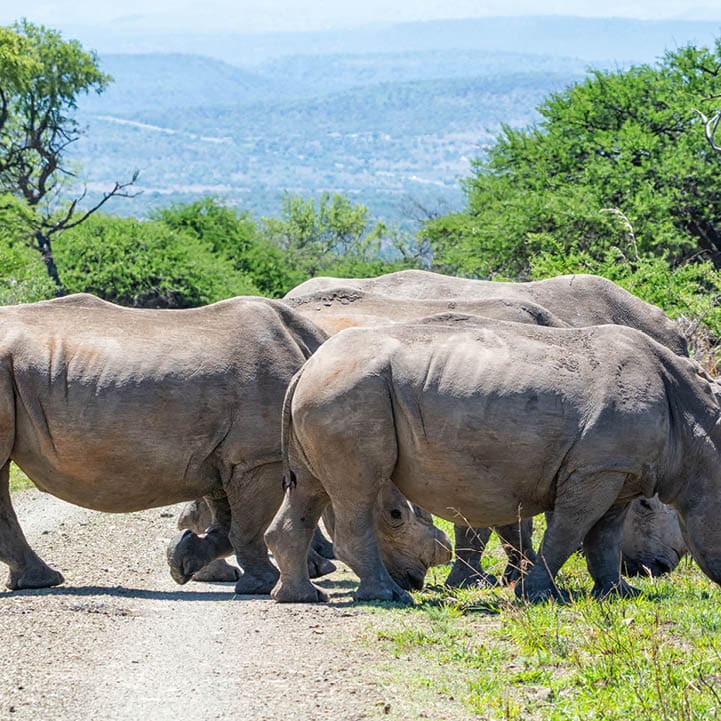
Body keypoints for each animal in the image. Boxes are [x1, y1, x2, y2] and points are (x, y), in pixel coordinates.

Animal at [0, 293, 450, 593]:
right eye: (395, 515)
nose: (419, 576)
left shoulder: (225, 457)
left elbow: (229, 524)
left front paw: (182, 561)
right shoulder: (260, 458)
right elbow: (248, 525)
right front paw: (262, 583)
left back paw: (38, 581)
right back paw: (44, 581)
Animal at [265, 317, 721, 604]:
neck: (699, 439)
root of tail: (305, 368)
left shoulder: (617, 470)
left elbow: (603, 537)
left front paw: (619, 595)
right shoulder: (598, 469)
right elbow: (568, 531)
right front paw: (536, 595)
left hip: (331, 391)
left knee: (310, 489)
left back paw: (301, 598)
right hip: (348, 391)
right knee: (356, 491)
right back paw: (390, 597)